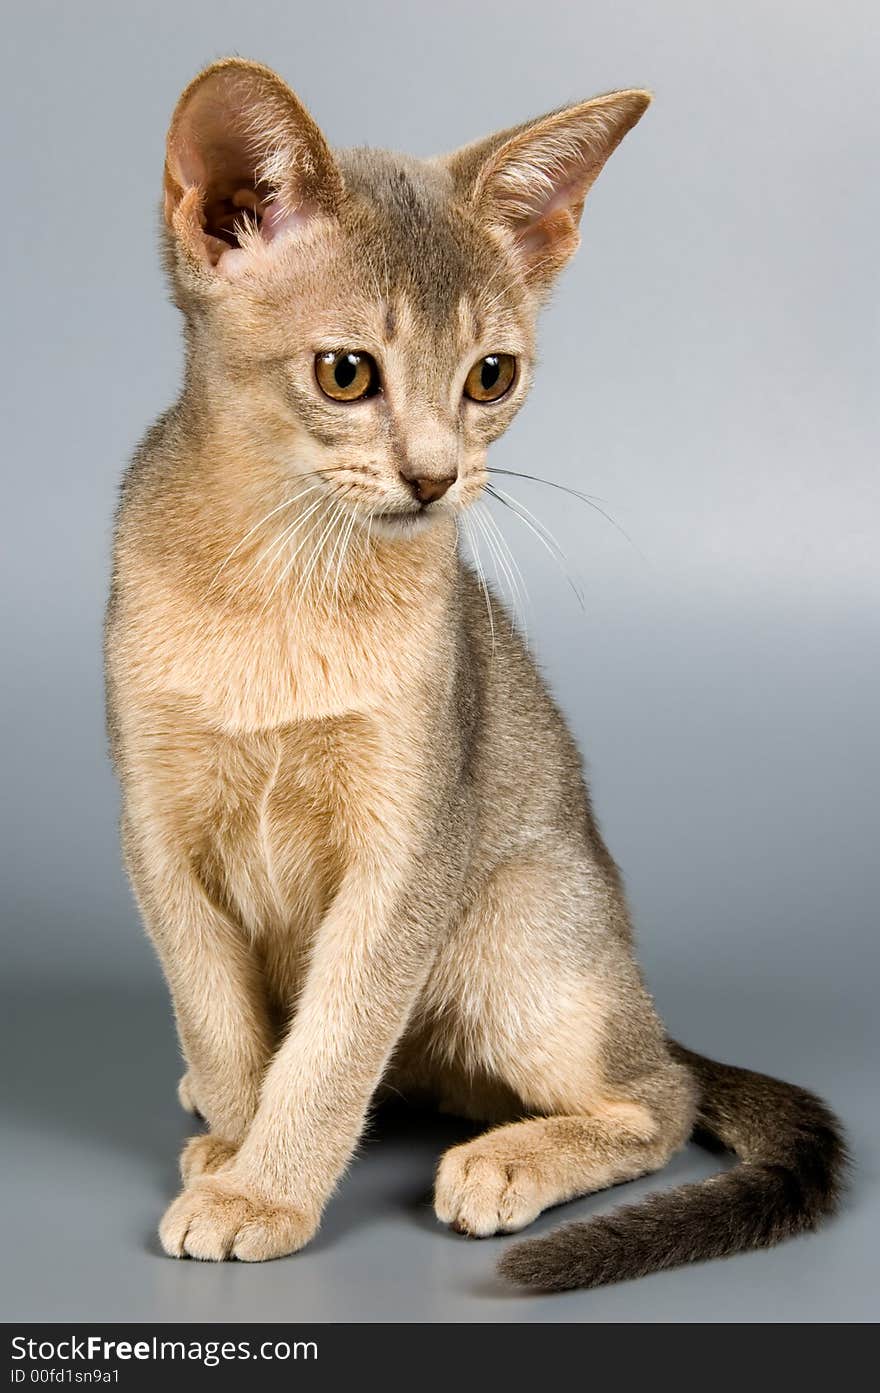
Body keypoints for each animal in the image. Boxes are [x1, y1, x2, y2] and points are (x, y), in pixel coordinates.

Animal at [103, 57, 846, 1292]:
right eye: (345, 373)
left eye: (490, 376)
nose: (434, 476)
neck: (277, 577)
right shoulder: (157, 830)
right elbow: (221, 1019)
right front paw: (234, 1141)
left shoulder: (408, 843)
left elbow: (332, 1049)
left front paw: (263, 1187)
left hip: (515, 931)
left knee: (658, 1095)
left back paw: (510, 1159)